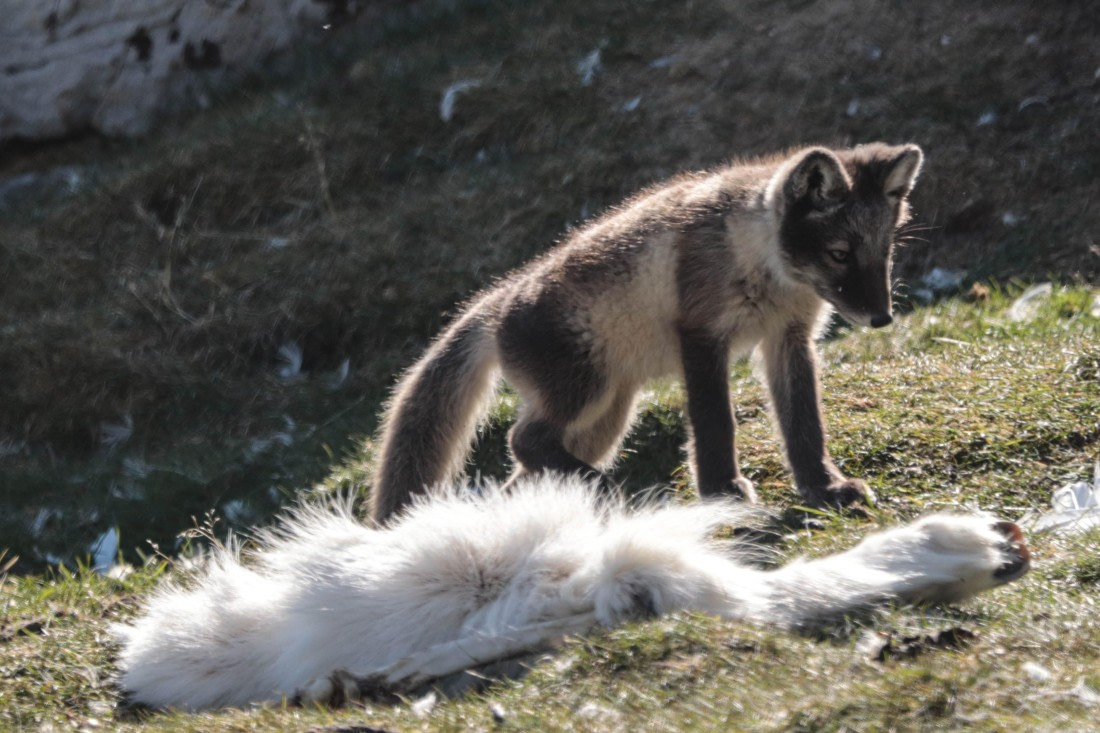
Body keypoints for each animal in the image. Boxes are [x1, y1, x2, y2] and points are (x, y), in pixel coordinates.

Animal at [370, 143, 924, 523]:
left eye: (885, 252)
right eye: (838, 253)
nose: (882, 319)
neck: (761, 259)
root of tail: (498, 301)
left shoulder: (789, 340)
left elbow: (804, 425)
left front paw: (824, 489)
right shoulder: (703, 335)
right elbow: (716, 423)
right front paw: (722, 492)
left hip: (606, 419)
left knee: (523, 469)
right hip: (586, 394)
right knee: (521, 440)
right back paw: (609, 491)